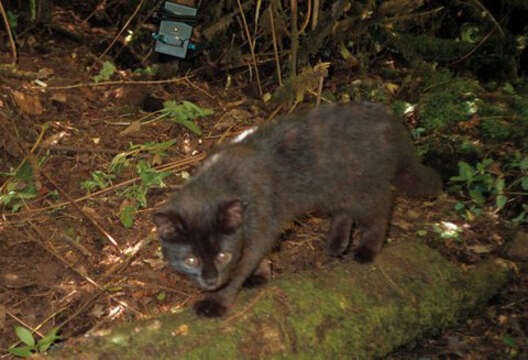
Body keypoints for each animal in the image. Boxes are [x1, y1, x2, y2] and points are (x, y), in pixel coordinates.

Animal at [153, 102, 442, 316]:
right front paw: (261, 275)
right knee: (344, 211)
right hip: (336, 189)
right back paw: (336, 244)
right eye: (191, 260)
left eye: (223, 255)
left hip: (365, 189)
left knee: (381, 212)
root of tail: (389, 121)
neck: (218, 180)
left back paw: (366, 251)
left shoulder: (261, 225)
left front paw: (216, 302)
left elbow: (242, 265)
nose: (211, 280)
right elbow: (258, 255)